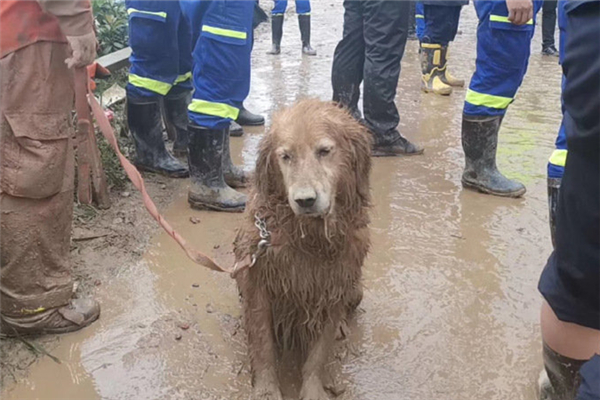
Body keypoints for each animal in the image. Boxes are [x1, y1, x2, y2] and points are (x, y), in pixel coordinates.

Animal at [234, 100, 370, 400]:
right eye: (286, 156)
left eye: (324, 151)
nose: (305, 200)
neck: (309, 238)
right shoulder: (257, 280)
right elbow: (262, 341)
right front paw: (266, 389)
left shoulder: (335, 284)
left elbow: (319, 351)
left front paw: (313, 388)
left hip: (357, 289)